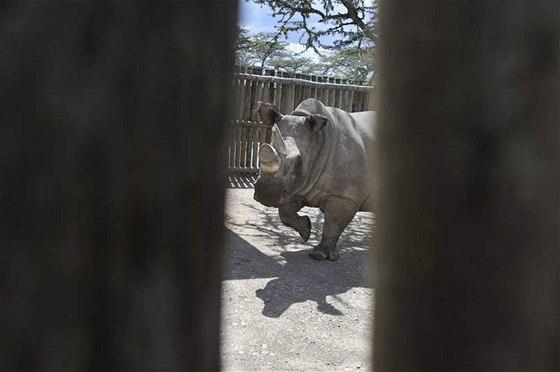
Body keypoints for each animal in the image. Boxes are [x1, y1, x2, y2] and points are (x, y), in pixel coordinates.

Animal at [255, 99, 376, 262]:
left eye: (299, 161)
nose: (267, 194)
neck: (319, 140)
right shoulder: (298, 186)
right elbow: (285, 213)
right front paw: (305, 229)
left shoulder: (345, 196)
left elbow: (333, 224)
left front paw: (320, 255)